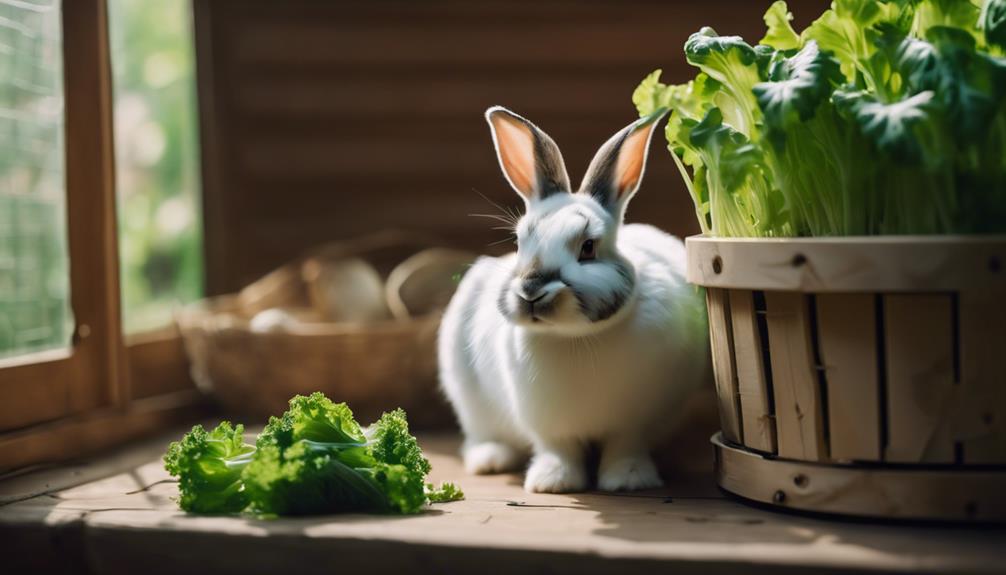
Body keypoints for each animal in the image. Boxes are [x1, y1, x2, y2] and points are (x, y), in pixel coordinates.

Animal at [438, 106, 709, 493]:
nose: (531, 292)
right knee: (480, 433)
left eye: (588, 247)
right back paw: (489, 460)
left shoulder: (634, 422)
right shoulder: (546, 422)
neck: (576, 339)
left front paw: (629, 480)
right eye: (519, 243)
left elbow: (625, 445)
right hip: (467, 397)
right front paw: (553, 482)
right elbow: (558, 449)